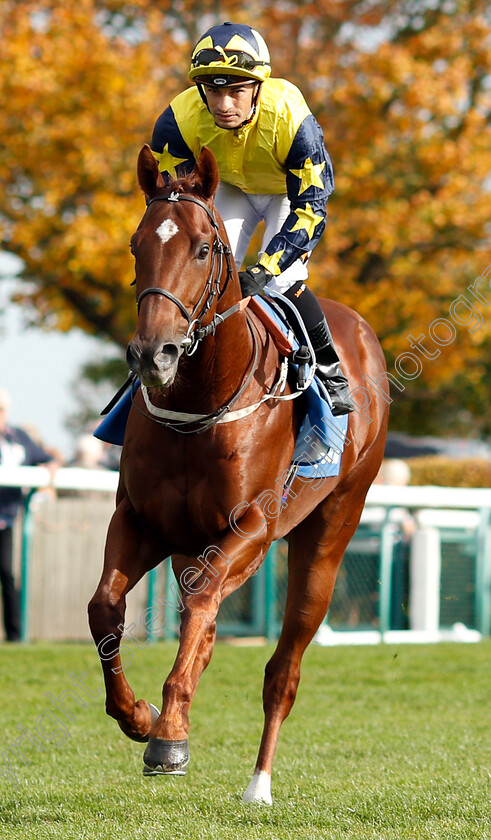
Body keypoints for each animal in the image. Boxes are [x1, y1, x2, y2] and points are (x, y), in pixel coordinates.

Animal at [87, 144, 388, 808]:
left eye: (204, 248)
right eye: (136, 245)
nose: (153, 354)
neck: (201, 401)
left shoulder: (250, 527)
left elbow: (202, 606)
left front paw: (170, 735)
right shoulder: (142, 521)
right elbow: (105, 608)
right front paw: (140, 716)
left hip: (328, 535)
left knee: (283, 671)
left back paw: (259, 785)